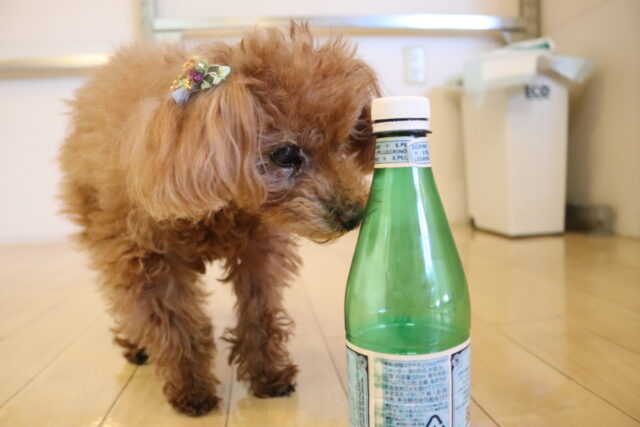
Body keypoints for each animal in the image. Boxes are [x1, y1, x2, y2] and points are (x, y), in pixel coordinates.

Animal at [59, 22, 379, 416]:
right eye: (286, 154)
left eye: (344, 140)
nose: (354, 215)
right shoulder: (148, 262)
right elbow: (172, 324)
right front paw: (190, 388)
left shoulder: (259, 254)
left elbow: (260, 313)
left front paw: (268, 375)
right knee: (126, 302)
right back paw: (137, 345)